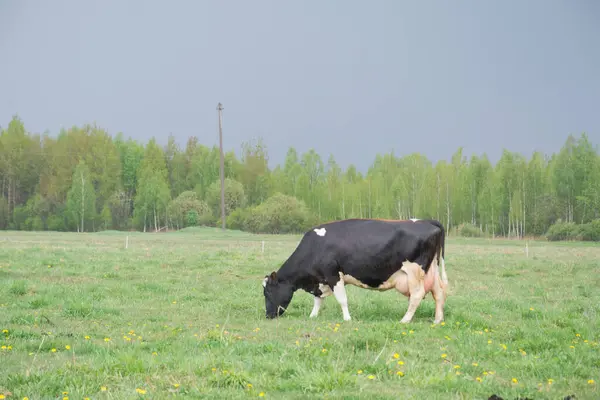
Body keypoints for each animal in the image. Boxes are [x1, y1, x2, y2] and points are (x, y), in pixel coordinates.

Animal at [260, 219, 448, 324]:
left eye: (268, 292)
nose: (268, 315)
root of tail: (426, 221)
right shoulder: (320, 280)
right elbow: (318, 301)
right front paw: (313, 316)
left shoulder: (333, 275)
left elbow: (342, 300)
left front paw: (347, 319)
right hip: (432, 270)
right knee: (438, 293)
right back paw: (437, 320)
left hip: (415, 272)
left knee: (417, 295)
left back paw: (405, 320)